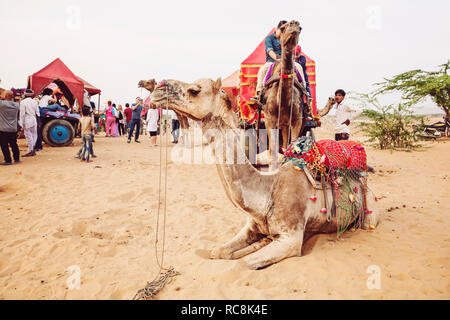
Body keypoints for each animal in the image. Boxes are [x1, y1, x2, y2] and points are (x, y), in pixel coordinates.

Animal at [152, 78, 380, 270]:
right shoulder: (252, 226)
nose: (158, 88)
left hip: (369, 212)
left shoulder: (291, 237)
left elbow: (243, 264)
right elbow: (218, 252)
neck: (268, 190)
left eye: (194, 90)